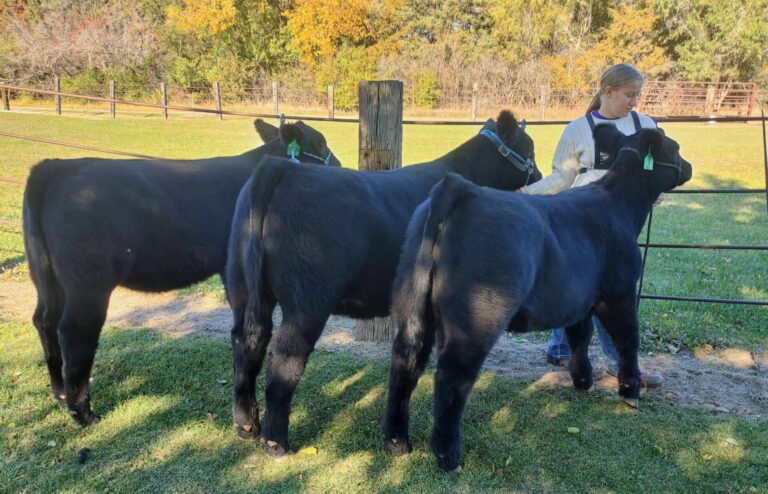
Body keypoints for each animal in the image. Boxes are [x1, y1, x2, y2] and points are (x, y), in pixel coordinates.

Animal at [22, 119, 340, 426]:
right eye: (321, 143)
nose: (339, 167)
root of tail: (56, 166)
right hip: (88, 284)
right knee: (74, 332)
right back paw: (83, 414)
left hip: (46, 277)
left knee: (44, 320)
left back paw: (60, 393)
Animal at [226, 110, 541, 457]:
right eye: (530, 148)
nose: (539, 174)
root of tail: (279, 169)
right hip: (306, 301)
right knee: (284, 356)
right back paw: (276, 442)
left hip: (243, 287)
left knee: (246, 340)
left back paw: (246, 425)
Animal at [381, 125, 692, 471]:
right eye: (676, 148)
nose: (689, 166)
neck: (618, 204)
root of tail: (460, 189)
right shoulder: (620, 292)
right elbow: (628, 341)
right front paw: (630, 391)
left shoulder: (578, 300)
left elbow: (579, 337)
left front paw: (583, 381)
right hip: (477, 317)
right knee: (452, 375)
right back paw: (448, 456)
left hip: (412, 300)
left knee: (406, 359)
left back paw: (396, 442)